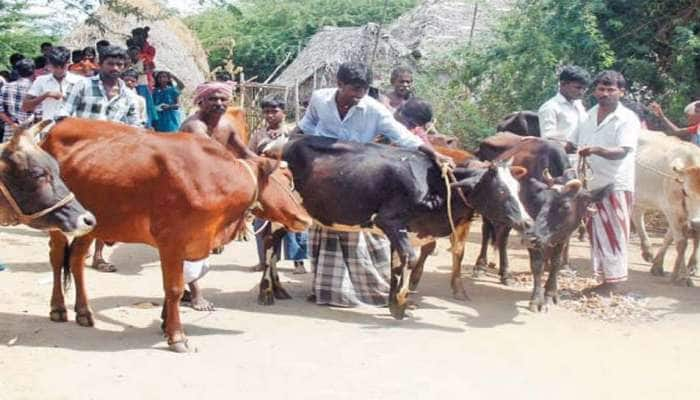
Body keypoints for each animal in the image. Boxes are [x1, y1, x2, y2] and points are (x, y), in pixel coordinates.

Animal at [40, 117, 308, 352]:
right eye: (286, 179)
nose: (305, 218)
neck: (214, 177)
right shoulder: (171, 242)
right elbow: (174, 289)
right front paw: (177, 337)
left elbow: (176, 286)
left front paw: (165, 324)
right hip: (57, 222)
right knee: (57, 258)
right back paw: (58, 309)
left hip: (90, 225)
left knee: (76, 260)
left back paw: (84, 312)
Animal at [260, 134, 532, 318]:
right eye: (500, 191)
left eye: (517, 187)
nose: (527, 221)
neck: (435, 185)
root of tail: (276, 142)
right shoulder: (389, 221)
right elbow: (409, 259)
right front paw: (400, 303)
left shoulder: (402, 231)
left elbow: (398, 264)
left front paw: (393, 301)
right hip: (280, 212)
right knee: (269, 242)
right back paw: (266, 292)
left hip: (292, 216)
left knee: (275, 242)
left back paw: (278, 288)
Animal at [474, 136, 608, 310]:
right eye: (540, 202)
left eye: (565, 206)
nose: (533, 237)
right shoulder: (530, 232)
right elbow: (537, 264)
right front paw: (537, 300)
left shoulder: (563, 235)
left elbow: (556, 262)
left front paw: (551, 294)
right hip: (488, 212)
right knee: (486, 232)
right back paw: (480, 265)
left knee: (502, 240)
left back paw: (505, 274)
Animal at [632, 130, 700, 286]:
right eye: (685, 192)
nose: (697, 222)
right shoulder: (671, 211)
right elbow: (681, 244)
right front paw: (684, 277)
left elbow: (669, 238)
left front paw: (658, 265)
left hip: (640, 197)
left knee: (637, 214)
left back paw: (647, 250)